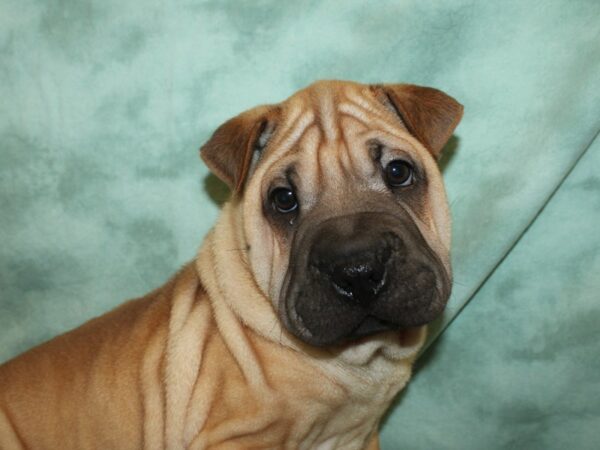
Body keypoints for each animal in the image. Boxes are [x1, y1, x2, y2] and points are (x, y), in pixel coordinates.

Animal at [0, 81, 464, 450]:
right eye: (284, 199)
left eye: (398, 172)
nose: (358, 269)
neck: (359, 357)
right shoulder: (232, 440)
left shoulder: (360, 438)